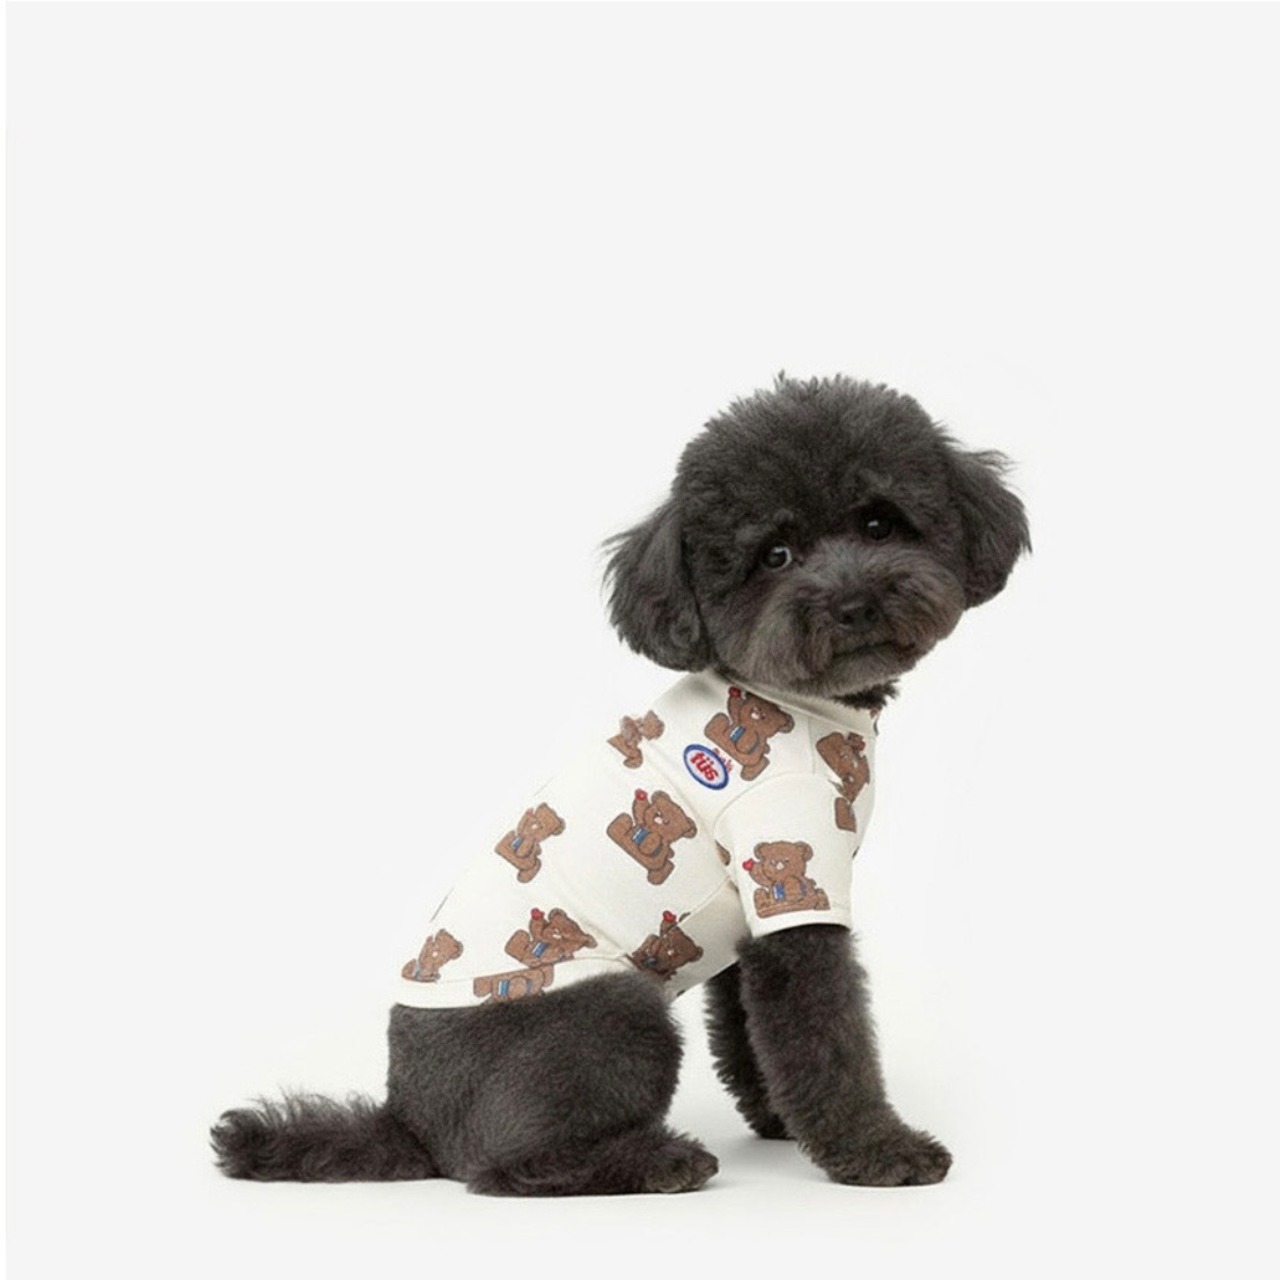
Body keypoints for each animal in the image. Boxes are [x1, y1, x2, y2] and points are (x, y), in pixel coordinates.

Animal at [211, 373, 1029, 1194]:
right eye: (774, 554)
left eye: (879, 522)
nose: (854, 603)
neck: (791, 702)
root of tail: (410, 1119)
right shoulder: (793, 882)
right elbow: (828, 1040)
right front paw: (878, 1151)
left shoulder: (753, 918)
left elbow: (751, 1030)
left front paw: (779, 1123)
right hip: (613, 1012)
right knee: (503, 1168)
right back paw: (660, 1159)